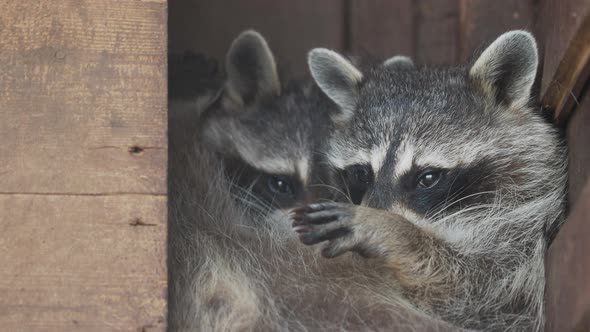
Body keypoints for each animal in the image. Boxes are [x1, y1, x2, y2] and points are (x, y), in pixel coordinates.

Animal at [300, 29, 568, 330]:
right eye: (361, 173)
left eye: (427, 177)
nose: (375, 211)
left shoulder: (523, 236)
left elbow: (478, 287)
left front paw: (390, 228)